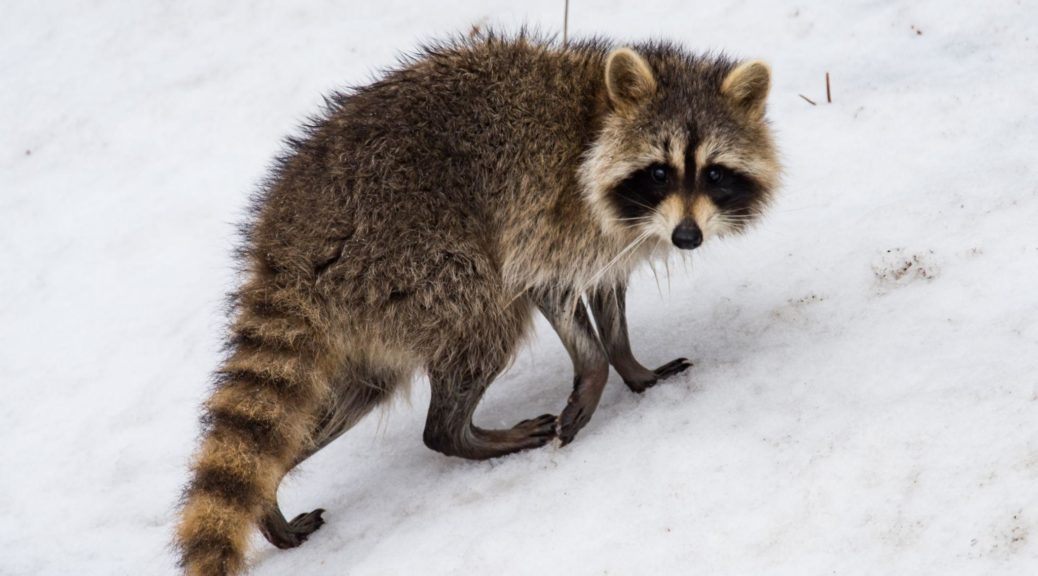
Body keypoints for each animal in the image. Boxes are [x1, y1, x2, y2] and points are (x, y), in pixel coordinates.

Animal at [176, 32, 780, 576]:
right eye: (659, 171)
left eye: (714, 173)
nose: (687, 237)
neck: (596, 115)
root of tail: (285, 246)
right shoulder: (545, 218)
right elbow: (546, 291)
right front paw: (595, 372)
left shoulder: (610, 240)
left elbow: (607, 296)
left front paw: (633, 366)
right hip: (411, 259)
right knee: (486, 320)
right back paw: (460, 432)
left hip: (363, 317)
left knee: (333, 404)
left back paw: (270, 492)